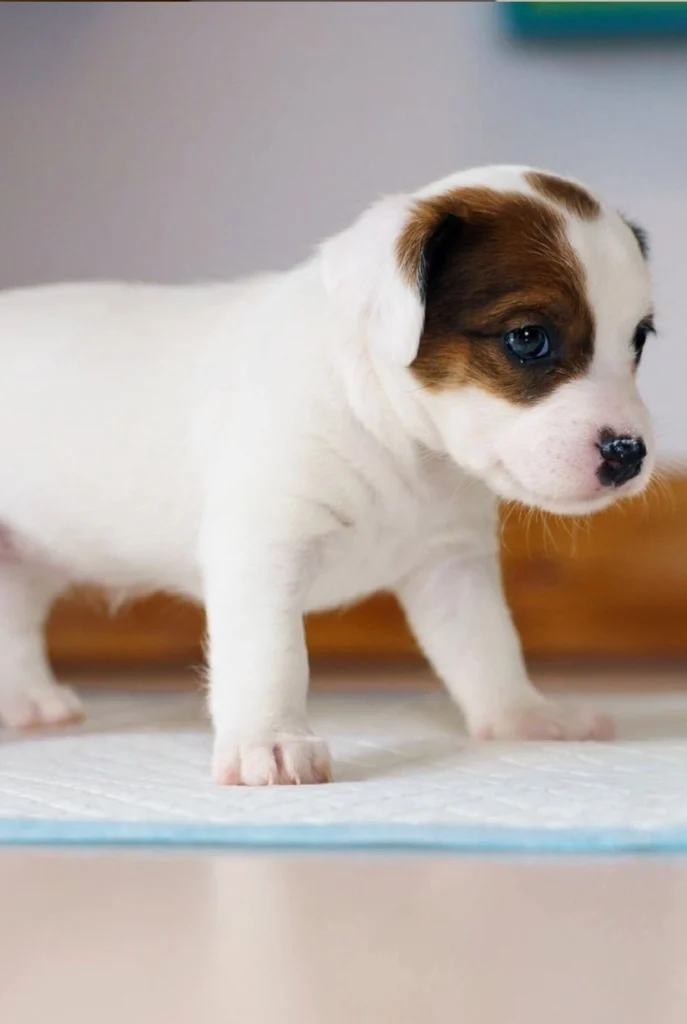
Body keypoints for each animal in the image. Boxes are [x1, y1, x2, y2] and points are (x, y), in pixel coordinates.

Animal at [0, 165, 655, 782]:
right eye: (528, 339)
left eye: (640, 341)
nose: (629, 453)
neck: (394, 437)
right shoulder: (265, 546)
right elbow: (272, 655)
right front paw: (269, 742)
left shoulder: (451, 566)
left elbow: (489, 647)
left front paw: (524, 716)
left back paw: (27, 702)